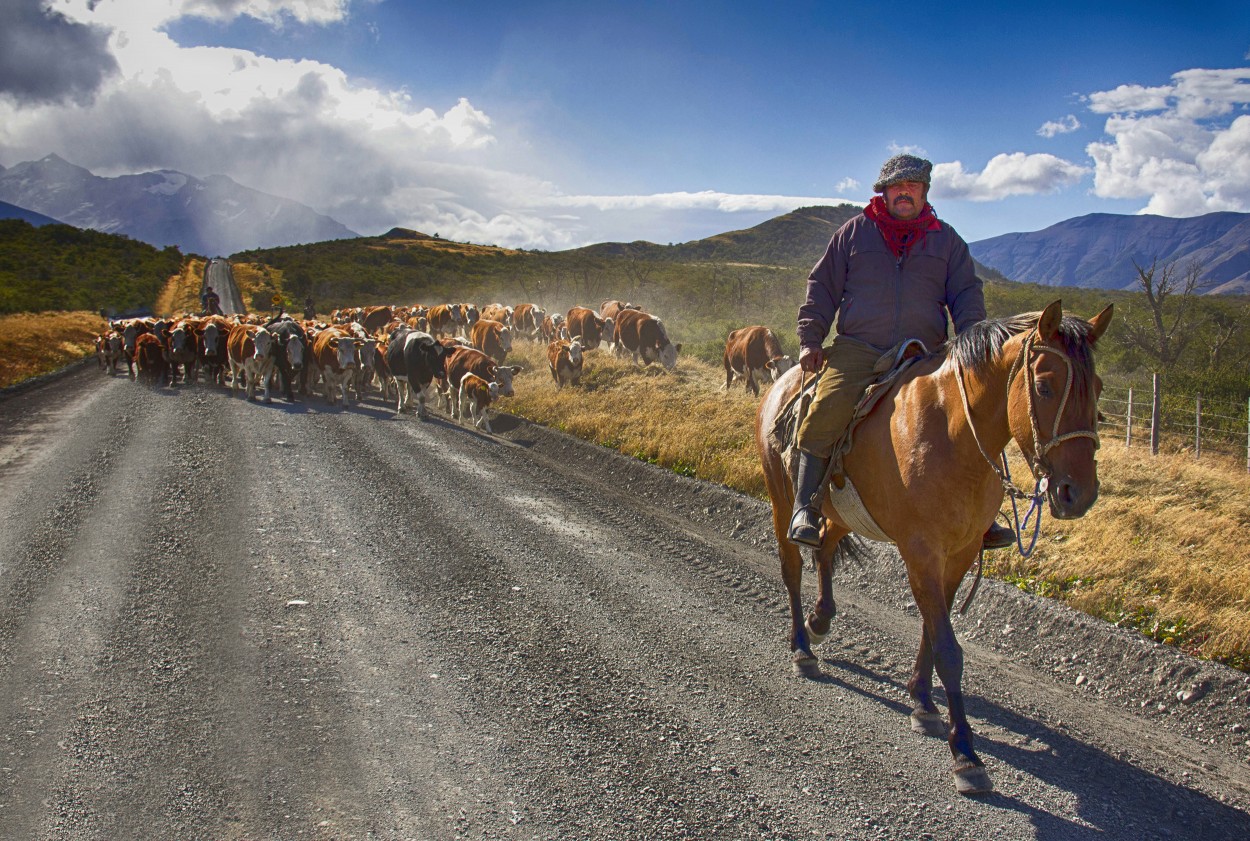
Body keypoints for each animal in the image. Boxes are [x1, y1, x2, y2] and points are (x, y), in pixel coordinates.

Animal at [750, 302, 1115, 794]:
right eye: (1044, 385)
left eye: (1097, 389)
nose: (1079, 493)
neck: (951, 435)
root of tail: (782, 382)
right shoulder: (921, 552)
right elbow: (947, 648)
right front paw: (965, 753)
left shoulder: (957, 555)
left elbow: (930, 630)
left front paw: (922, 702)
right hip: (781, 497)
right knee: (793, 567)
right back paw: (803, 647)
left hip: (843, 513)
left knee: (824, 550)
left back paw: (820, 619)